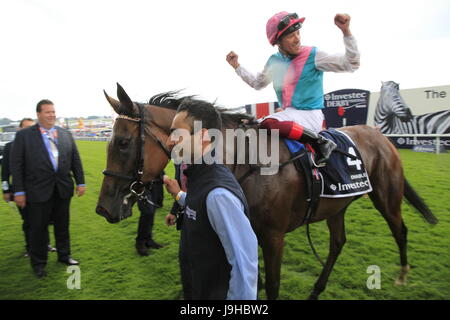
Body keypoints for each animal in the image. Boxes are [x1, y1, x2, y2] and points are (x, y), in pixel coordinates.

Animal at [95, 84, 436, 300]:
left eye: (123, 143)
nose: (103, 209)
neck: (246, 163)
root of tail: (380, 136)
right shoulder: (248, 228)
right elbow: (251, 275)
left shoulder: (274, 236)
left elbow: (271, 284)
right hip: (335, 206)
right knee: (338, 243)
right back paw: (317, 289)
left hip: (386, 196)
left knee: (400, 230)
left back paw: (403, 274)